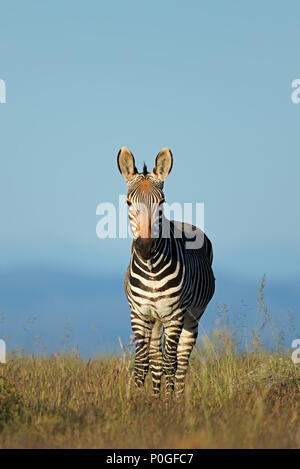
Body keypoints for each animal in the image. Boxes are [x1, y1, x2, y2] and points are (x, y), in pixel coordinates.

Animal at [118, 146, 216, 394]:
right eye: (128, 203)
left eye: (161, 201)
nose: (145, 247)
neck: (151, 269)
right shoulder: (138, 313)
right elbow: (142, 362)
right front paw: (140, 399)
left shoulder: (175, 314)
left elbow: (170, 362)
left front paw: (169, 401)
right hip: (155, 319)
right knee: (155, 356)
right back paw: (154, 395)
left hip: (193, 316)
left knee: (181, 359)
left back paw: (179, 397)